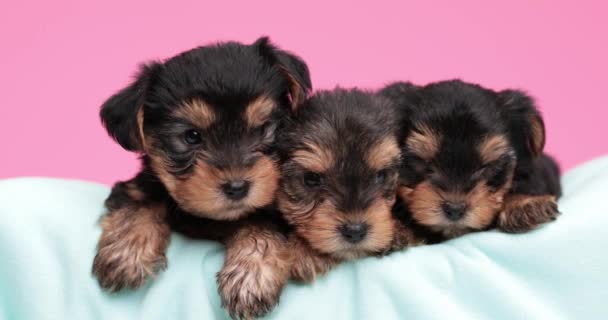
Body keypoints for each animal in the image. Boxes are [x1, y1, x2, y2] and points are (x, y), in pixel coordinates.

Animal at [92, 37, 312, 318]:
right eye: (191, 137)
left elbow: (262, 227)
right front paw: (126, 253)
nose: (237, 187)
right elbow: (139, 202)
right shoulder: (140, 184)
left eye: (263, 129)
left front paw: (250, 278)